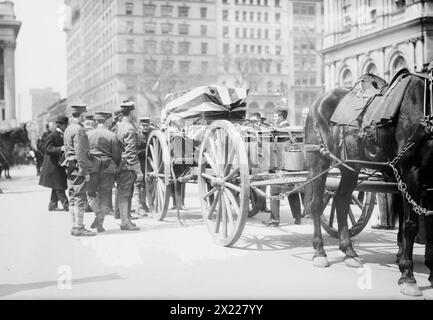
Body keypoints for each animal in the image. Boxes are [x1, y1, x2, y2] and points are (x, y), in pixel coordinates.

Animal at [302, 69, 432, 298]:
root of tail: (317, 102)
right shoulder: (411, 173)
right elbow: (410, 225)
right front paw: (408, 276)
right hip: (318, 161)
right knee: (317, 204)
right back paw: (319, 252)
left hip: (349, 167)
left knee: (342, 202)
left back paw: (349, 251)